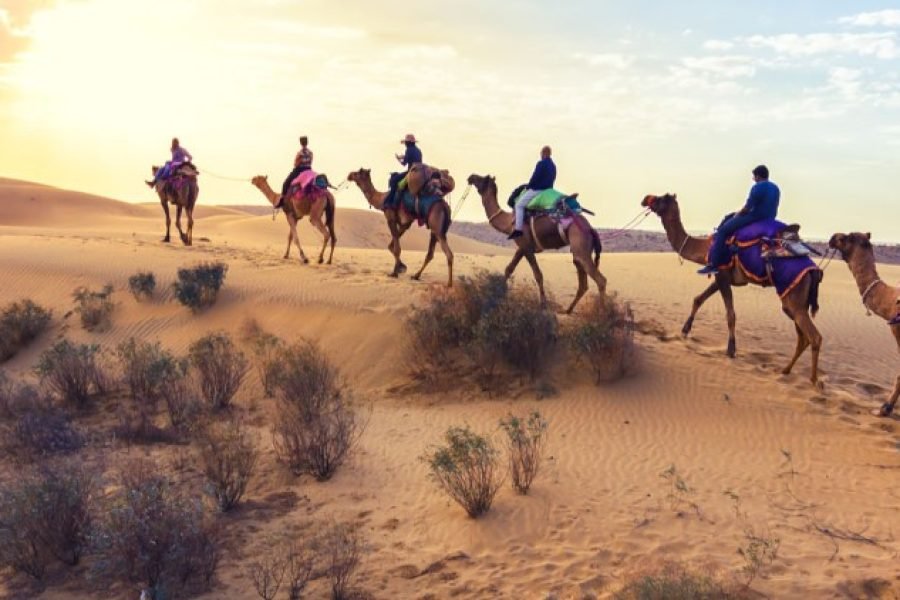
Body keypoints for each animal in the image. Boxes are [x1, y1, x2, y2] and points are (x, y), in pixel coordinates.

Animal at [468, 173, 608, 314]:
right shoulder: (522, 246)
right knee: (583, 282)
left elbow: (538, 275)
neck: (509, 222)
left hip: (580, 246)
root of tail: (591, 229)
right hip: (579, 251)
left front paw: (543, 305)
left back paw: (602, 313)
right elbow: (509, 269)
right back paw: (568, 310)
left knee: (601, 280)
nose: (471, 177)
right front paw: (498, 294)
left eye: (483, 178)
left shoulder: (527, 247)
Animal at [640, 195, 824, 386]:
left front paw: (731, 349)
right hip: (794, 302)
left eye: (661, 198)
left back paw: (813, 380)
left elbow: (730, 314)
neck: (706, 248)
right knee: (803, 337)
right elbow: (698, 299)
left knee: (814, 337)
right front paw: (685, 330)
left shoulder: (722, 275)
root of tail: (814, 271)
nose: (645, 199)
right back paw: (785, 370)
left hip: (793, 296)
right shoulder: (720, 275)